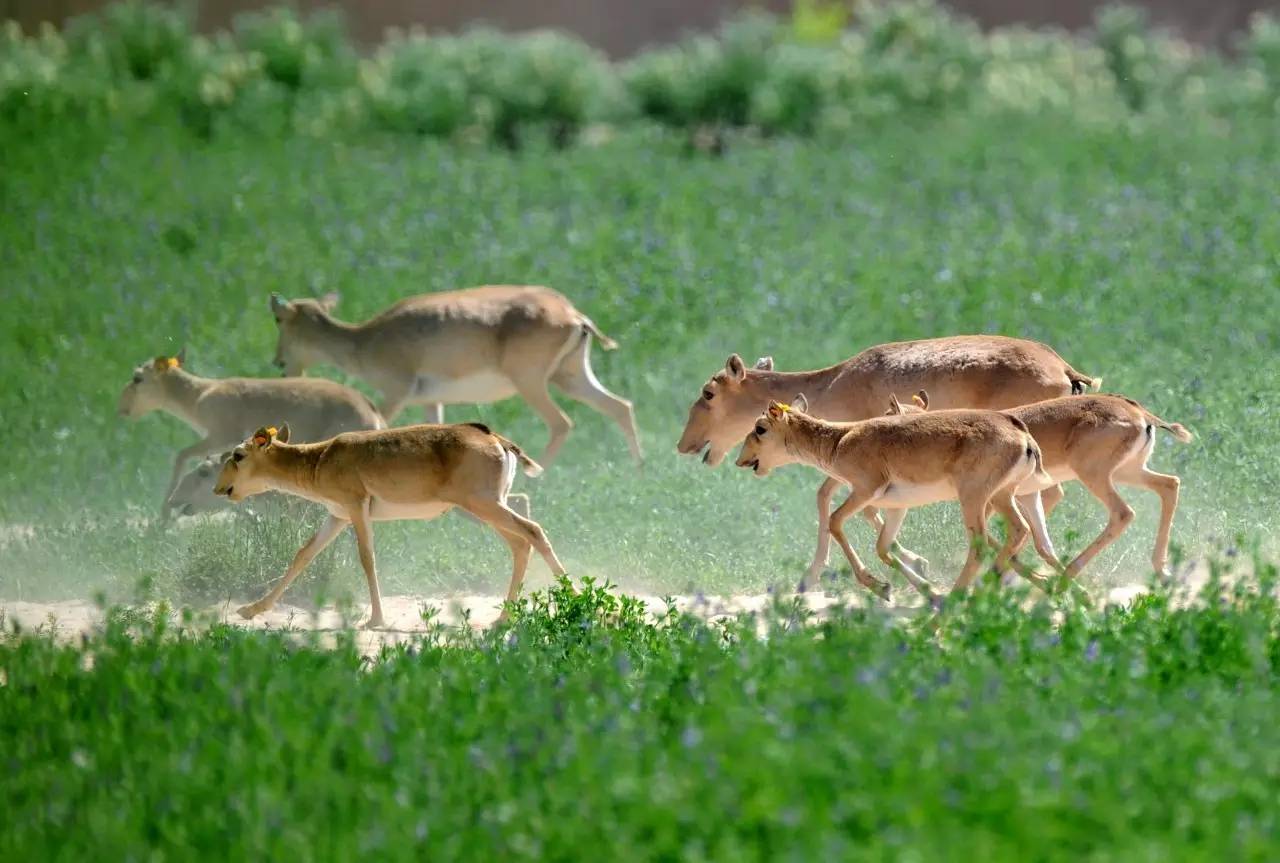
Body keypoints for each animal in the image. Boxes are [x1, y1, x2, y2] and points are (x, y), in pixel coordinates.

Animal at [215, 417, 565, 624]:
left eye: (238, 455)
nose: (220, 489)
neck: (320, 459)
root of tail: (497, 439)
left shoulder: (356, 508)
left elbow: (366, 558)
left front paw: (376, 619)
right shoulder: (337, 515)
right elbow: (303, 555)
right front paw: (251, 609)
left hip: (485, 505)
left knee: (533, 531)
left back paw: (572, 594)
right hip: (488, 508)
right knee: (521, 544)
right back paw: (503, 618)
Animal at [273, 284, 645, 463]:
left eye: (278, 318)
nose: (278, 363)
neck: (366, 339)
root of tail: (573, 315)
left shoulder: (395, 393)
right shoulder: (431, 401)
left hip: (532, 384)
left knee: (562, 423)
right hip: (571, 378)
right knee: (621, 407)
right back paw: (638, 470)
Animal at [737, 396, 1044, 599]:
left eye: (760, 428)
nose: (742, 460)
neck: (840, 441)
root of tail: (1022, 435)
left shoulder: (864, 490)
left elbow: (835, 522)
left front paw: (880, 586)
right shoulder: (897, 507)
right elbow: (883, 547)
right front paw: (928, 592)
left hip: (974, 498)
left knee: (981, 545)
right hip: (1003, 495)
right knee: (1020, 531)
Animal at [880, 389, 1187, 578]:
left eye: (887, 415)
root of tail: (1138, 413)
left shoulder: (991, 501)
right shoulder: (1027, 496)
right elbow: (1041, 544)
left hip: (1096, 476)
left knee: (1123, 513)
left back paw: (1069, 575)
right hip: (1128, 472)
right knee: (1169, 485)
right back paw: (1161, 570)